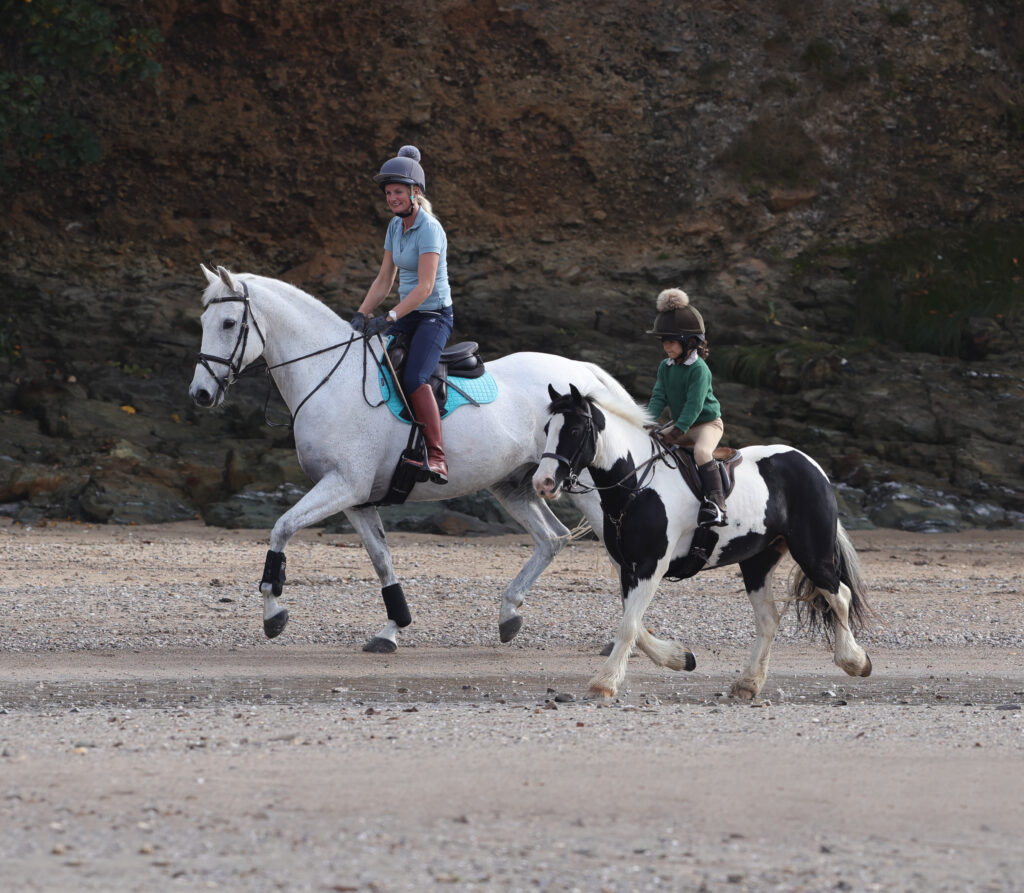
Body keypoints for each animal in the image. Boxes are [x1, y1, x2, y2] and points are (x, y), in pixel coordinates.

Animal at [532, 383, 876, 696]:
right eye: (548, 428)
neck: (637, 486)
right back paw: (748, 683)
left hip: (811, 552)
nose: (543, 482)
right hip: (758, 561)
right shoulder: (627, 568)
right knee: (769, 618)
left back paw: (855, 661)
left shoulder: (650, 566)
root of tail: (810, 464)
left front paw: (605, 683)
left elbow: (629, 625)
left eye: (575, 429)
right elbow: (634, 623)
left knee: (839, 595)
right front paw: (680, 658)